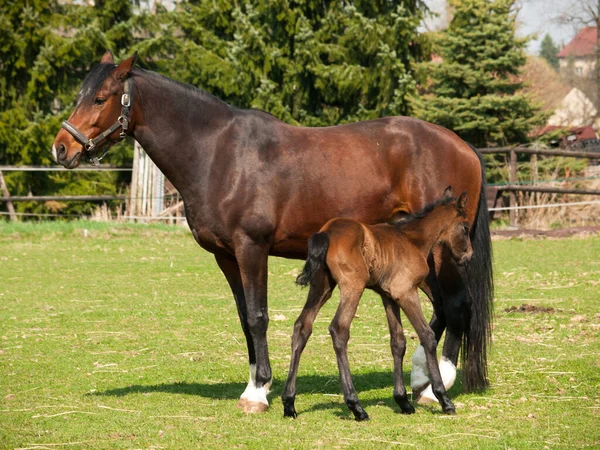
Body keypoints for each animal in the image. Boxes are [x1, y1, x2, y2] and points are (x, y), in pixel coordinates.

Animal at [284, 189, 472, 418]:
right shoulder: (406, 293)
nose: (468, 256)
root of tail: (326, 233)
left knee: (302, 326)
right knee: (339, 329)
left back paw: (289, 403)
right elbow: (427, 336)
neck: (412, 240)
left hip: (321, 287)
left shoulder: (389, 297)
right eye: (465, 228)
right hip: (353, 286)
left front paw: (403, 401)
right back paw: (356, 405)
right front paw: (444, 399)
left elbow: (398, 342)